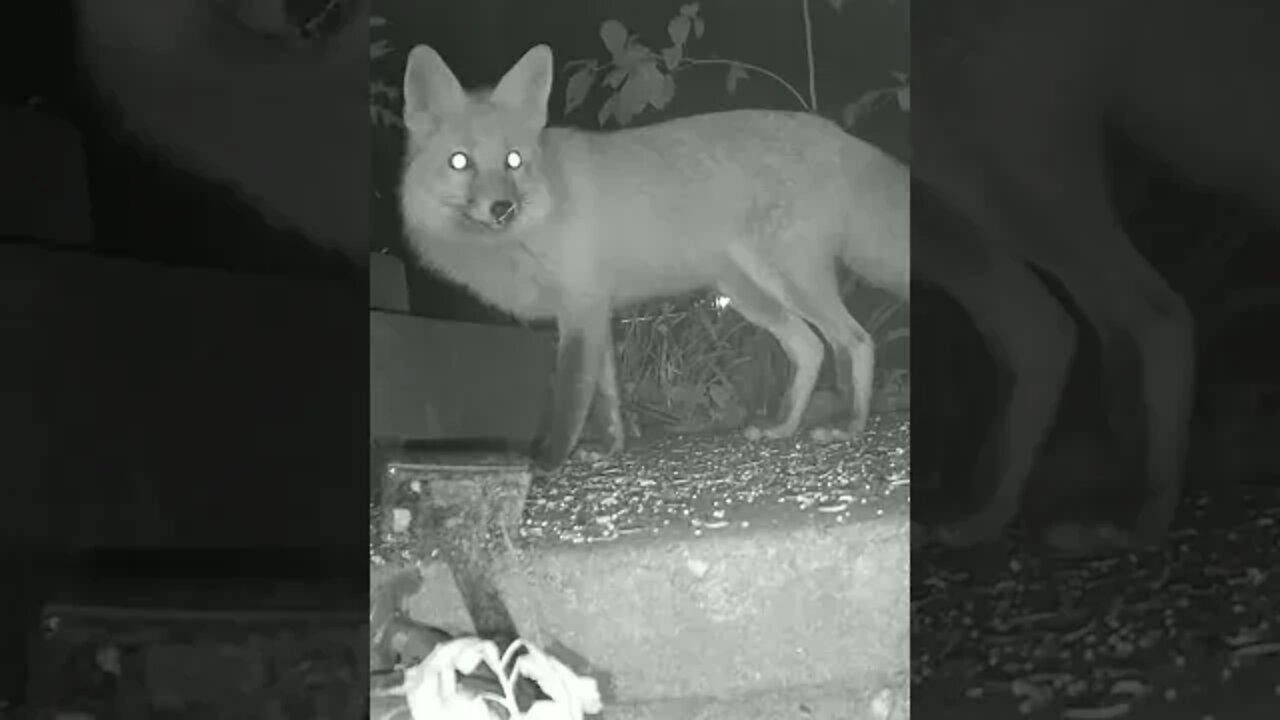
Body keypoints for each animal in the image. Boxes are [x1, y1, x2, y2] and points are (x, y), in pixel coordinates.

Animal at [399, 44, 910, 469]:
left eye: (513, 161)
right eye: (460, 162)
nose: (503, 208)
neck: (543, 212)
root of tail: (837, 135)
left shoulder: (581, 310)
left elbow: (569, 401)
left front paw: (546, 466)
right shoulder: (593, 313)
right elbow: (606, 398)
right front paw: (610, 450)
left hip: (788, 280)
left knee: (856, 341)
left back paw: (850, 427)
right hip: (749, 293)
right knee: (810, 347)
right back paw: (783, 428)